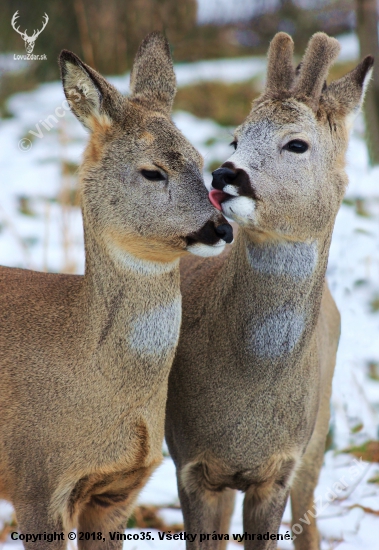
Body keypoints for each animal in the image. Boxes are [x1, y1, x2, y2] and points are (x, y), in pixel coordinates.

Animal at [166, 31, 374, 550]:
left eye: (297, 143)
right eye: (236, 138)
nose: (225, 174)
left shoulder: (280, 468)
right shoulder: (190, 462)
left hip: (319, 432)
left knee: (309, 518)